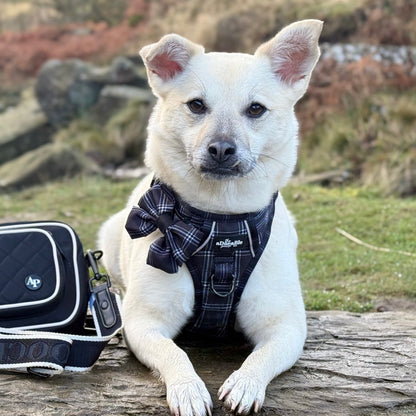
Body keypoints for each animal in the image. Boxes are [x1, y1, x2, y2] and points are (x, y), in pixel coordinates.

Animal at [99, 20, 324, 416]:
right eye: (196, 105)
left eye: (255, 109)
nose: (220, 148)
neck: (222, 224)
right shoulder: (145, 323)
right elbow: (173, 353)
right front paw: (187, 388)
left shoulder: (286, 326)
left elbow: (263, 357)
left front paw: (246, 383)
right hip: (111, 236)